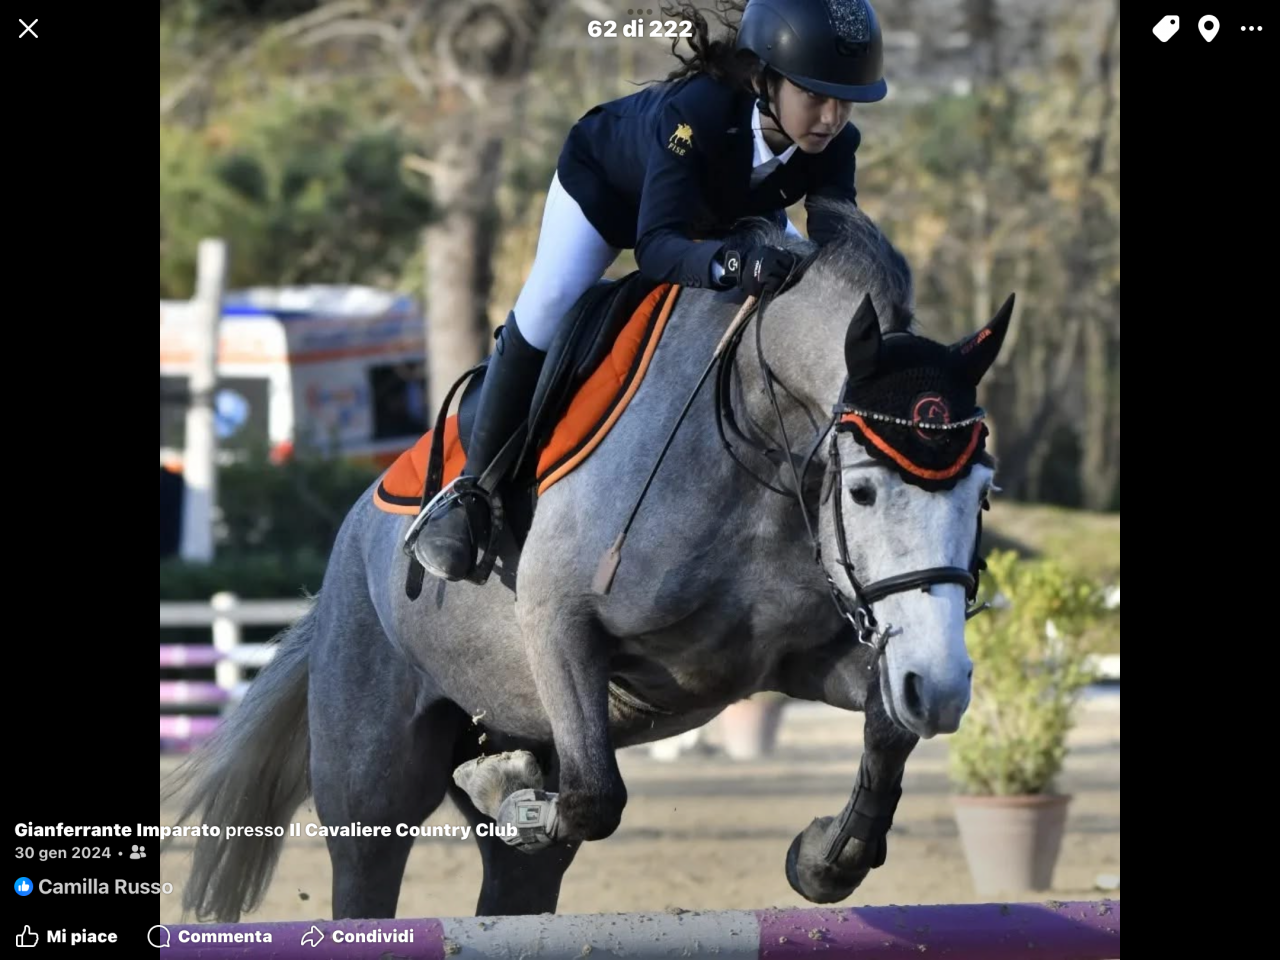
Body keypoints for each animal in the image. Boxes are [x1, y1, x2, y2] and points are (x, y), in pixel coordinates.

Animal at [163, 200, 1014, 922]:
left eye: (984, 492)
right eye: (863, 491)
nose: (941, 687)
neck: (752, 438)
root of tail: (344, 552)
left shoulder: (789, 663)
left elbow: (886, 726)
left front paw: (824, 858)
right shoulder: (560, 625)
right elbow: (597, 795)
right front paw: (501, 780)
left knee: (517, 885)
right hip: (370, 789)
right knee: (370, 873)